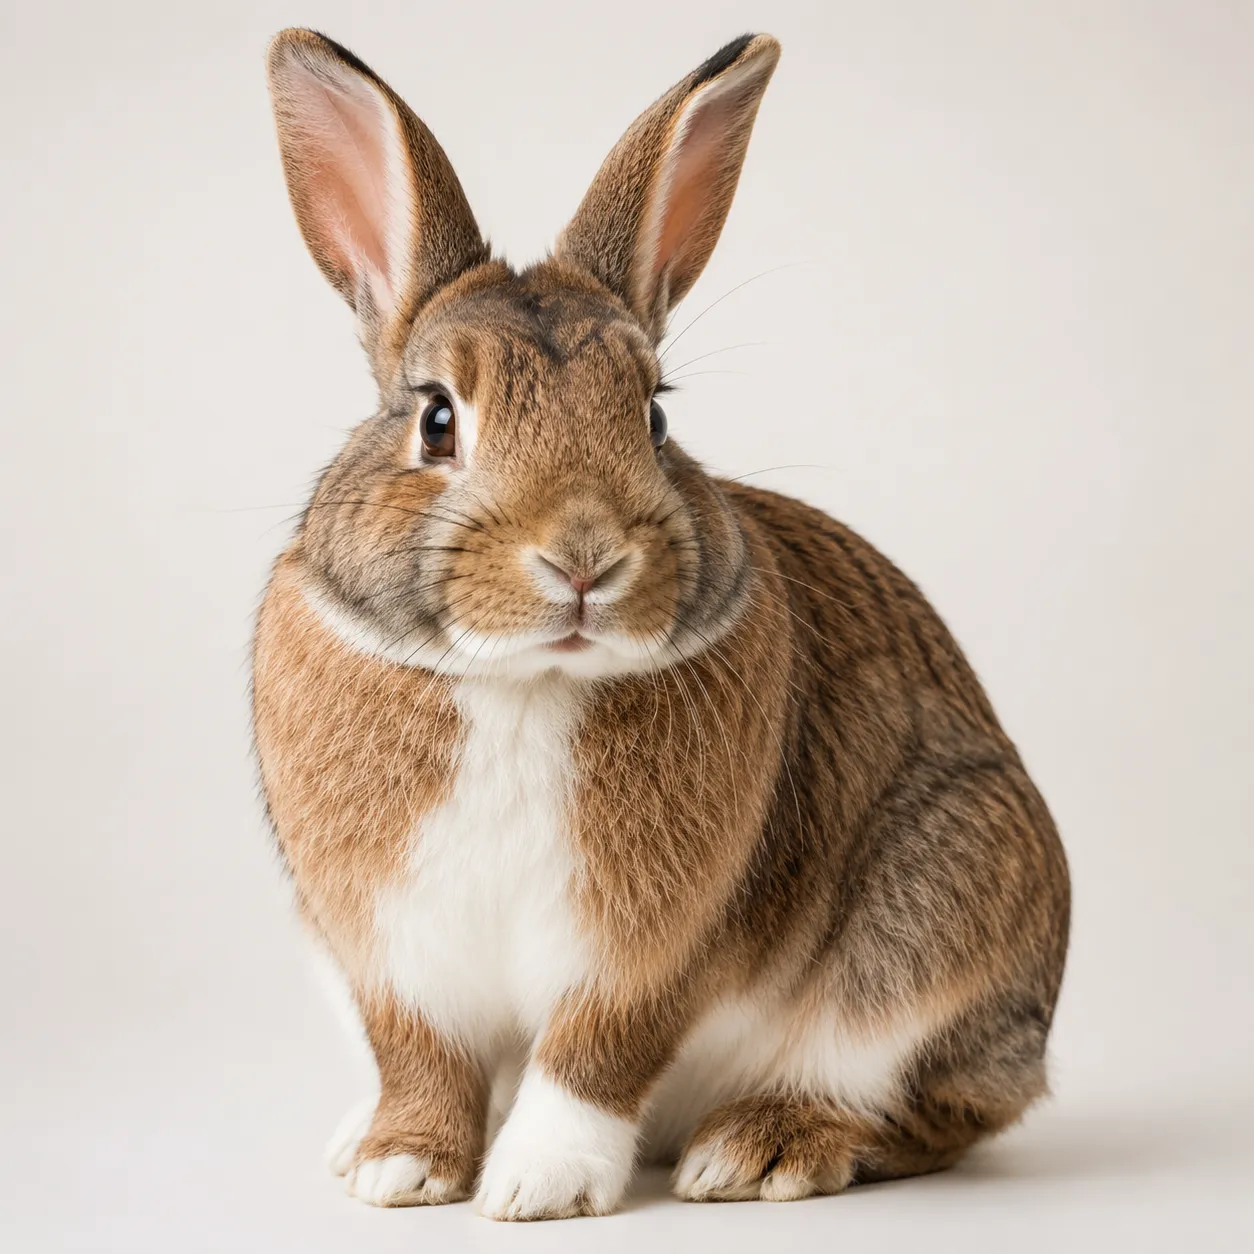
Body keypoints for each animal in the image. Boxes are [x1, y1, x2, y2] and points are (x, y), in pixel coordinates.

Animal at [253, 27, 1070, 1222]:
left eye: (653, 416)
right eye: (437, 420)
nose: (584, 557)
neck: (523, 678)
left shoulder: (654, 951)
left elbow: (593, 1059)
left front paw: (536, 1186)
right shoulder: (389, 958)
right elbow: (422, 1057)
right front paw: (400, 1166)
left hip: (943, 906)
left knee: (932, 1112)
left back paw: (764, 1147)